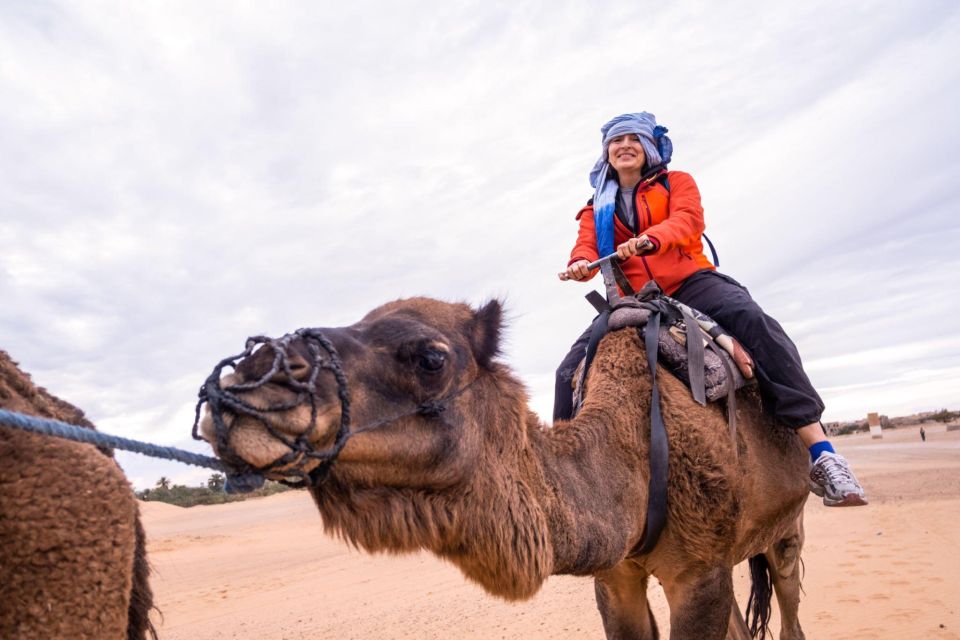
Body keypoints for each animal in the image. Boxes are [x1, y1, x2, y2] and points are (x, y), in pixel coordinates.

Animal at [201, 300, 808, 640]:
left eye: (431, 358)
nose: (249, 379)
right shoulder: (615, 577)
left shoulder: (699, 572)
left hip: (786, 530)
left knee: (789, 611)